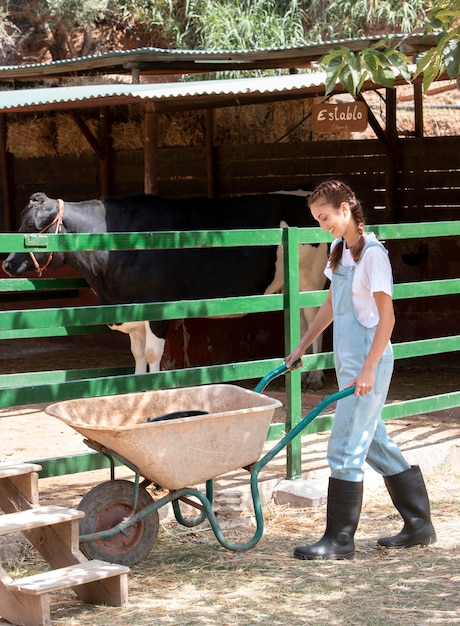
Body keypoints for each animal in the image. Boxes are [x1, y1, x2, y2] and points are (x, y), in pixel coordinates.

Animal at [2, 190, 328, 386]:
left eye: (31, 228)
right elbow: (136, 354)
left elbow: (150, 354)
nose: (7, 264)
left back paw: (315, 376)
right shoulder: (130, 310)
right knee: (303, 321)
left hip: (312, 281)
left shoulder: (158, 307)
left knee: (316, 320)